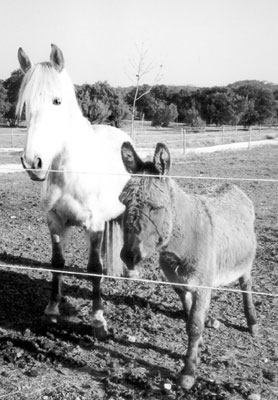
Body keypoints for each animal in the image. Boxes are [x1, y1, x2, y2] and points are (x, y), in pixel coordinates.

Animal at [16, 43, 132, 338]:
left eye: (57, 101)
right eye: (26, 105)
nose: (33, 162)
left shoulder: (95, 225)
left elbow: (94, 269)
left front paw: (98, 320)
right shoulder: (55, 222)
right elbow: (57, 264)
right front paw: (51, 312)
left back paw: (130, 272)